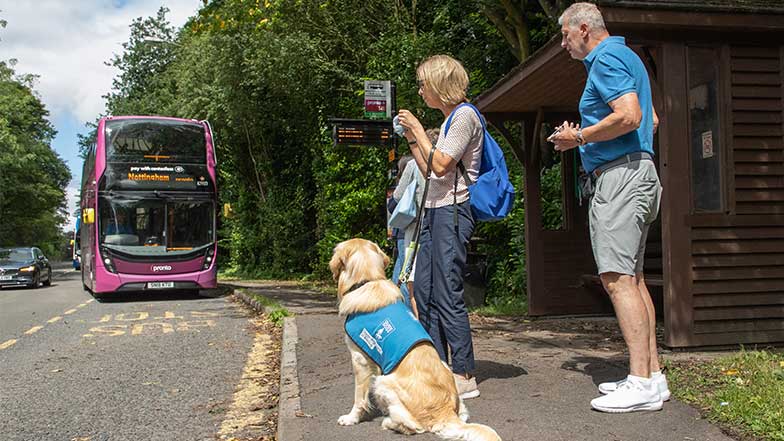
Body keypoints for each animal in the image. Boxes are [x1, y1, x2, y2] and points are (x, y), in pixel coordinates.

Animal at [330, 239, 502, 438]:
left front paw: (351, 418)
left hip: (384, 381)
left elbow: (359, 397)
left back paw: (389, 422)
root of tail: (446, 412)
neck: (367, 281)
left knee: (415, 427)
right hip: (444, 367)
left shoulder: (360, 359)